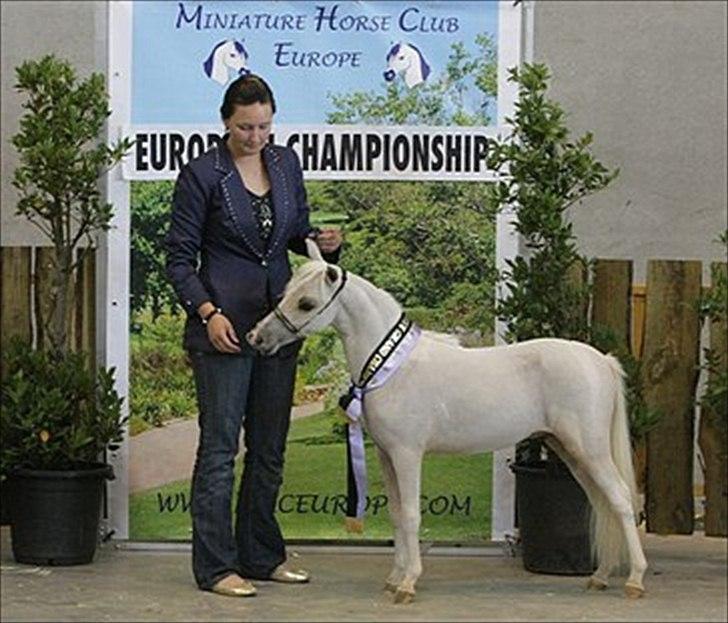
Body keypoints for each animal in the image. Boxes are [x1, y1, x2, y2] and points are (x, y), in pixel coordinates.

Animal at [247, 249, 644, 604]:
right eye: (286, 294)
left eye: (307, 303)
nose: (256, 338)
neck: (393, 366)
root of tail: (602, 361)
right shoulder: (387, 456)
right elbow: (395, 515)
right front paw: (394, 578)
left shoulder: (407, 454)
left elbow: (410, 515)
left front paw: (408, 583)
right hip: (570, 450)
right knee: (601, 502)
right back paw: (600, 576)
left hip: (589, 450)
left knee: (620, 499)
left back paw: (634, 580)